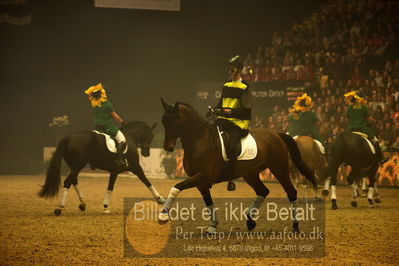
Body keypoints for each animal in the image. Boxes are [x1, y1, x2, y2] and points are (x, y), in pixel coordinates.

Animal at [38, 121, 166, 215]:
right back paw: (60, 208)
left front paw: (105, 207)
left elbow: (110, 187)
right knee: (68, 181)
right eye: (150, 136)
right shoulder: (135, 167)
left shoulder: (115, 171)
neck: (130, 138)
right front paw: (160, 199)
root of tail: (68, 137)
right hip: (78, 165)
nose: (146, 153)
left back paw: (82, 203)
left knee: (74, 180)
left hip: (75, 166)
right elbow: (146, 181)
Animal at [158, 100, 318, 233]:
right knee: (263, 191)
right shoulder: (200, 181)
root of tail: (277, 134)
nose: (168, 147)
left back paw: (295, 226)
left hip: (279, 169)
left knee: (291, 192)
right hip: (250, 174)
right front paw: (212, 226)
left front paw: (163, 216)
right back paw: (250, 220)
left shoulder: (202, 176)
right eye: (164, 121)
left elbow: (176, 187)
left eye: (177, 121)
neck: (200, 141)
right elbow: (208, 202)